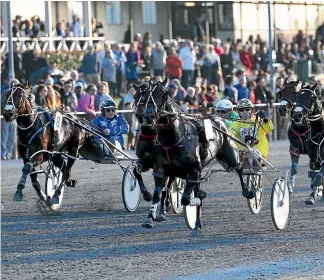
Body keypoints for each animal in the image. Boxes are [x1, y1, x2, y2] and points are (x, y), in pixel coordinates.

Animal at [135, 79, 249, 232]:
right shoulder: (159, 169)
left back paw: (248, 192)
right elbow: (157, 193)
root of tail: (218, 119)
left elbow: (186, 198)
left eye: (163, 94)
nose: (148, 117)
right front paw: (149, 217)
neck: (172, 138)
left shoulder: (194, 171)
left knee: (239, 166)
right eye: (142, 94)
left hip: (230, 155)